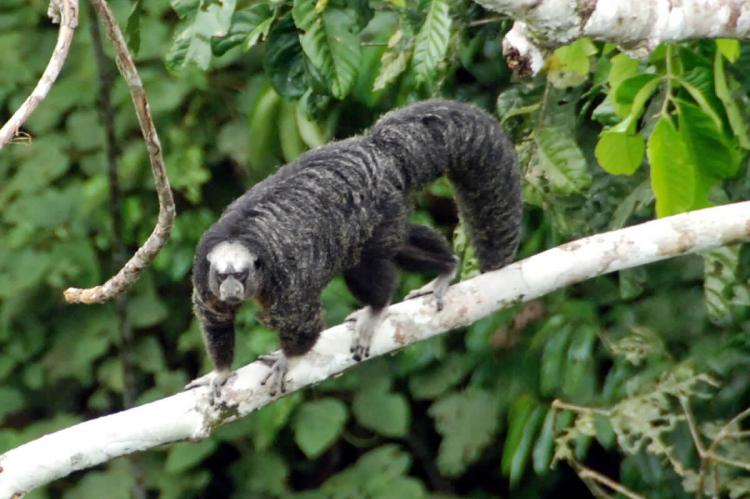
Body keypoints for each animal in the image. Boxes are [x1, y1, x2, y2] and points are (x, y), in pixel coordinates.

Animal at [187, 99, 522, 396]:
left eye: (241, 276)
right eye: (223, 276)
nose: (231, 289)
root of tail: (378, 146)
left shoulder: (287, 283)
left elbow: (304, 324)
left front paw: (286, 359)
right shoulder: (203, 273)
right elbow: (215, 317)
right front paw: (221, 372)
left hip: (382, 203)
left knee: (366, 263)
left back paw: (378, 308)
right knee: (399, 244)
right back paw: (447, 264)